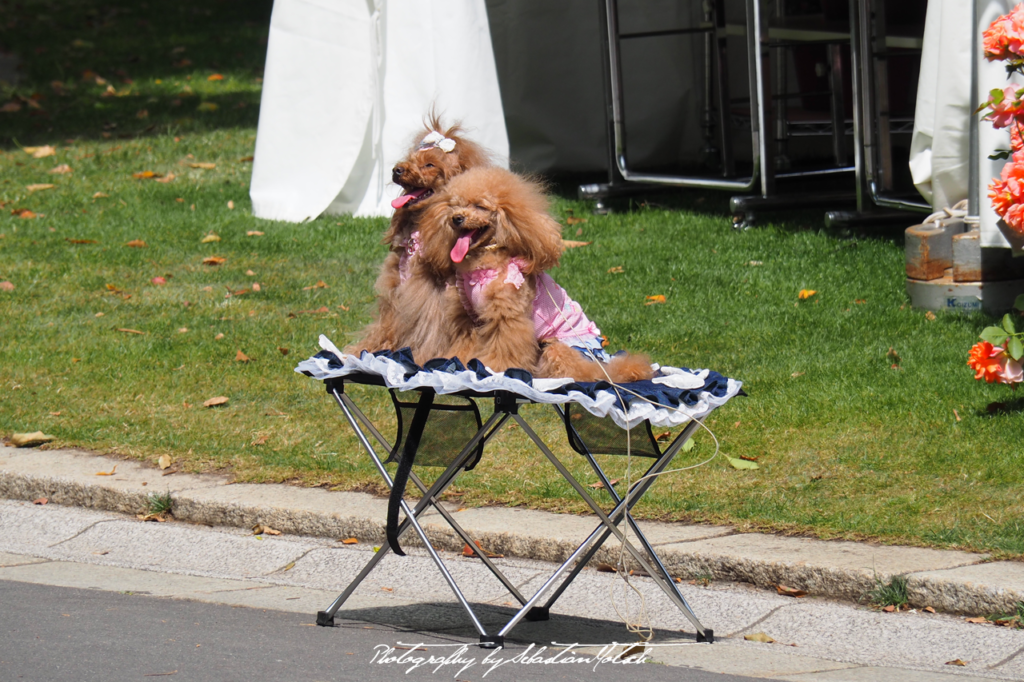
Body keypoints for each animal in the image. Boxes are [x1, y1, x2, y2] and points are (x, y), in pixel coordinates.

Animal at [419, 163, 651, 376]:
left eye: (480, 206)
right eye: (453, 206)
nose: (456, 218)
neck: (482, 266)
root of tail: (603, 366)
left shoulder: (507, 316)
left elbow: (505, 348)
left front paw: (494, 368)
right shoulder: (468, 318)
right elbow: (463, 346)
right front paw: (456, 361)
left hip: (558, 348)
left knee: (582, 374)